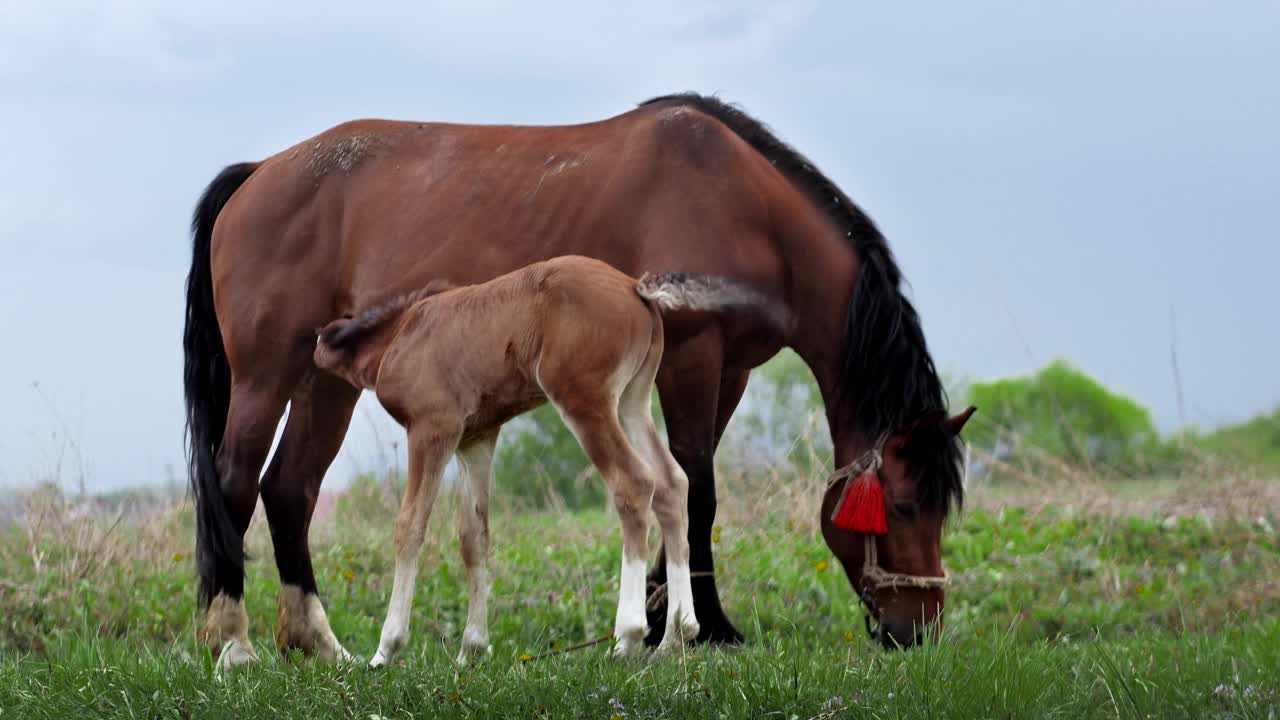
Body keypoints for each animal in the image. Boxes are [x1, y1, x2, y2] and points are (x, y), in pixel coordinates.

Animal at [314, 253, 783, 661]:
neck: (403, 332)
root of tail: (635, 288)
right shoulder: (477, 438)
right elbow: (474, 535)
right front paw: (472, 651)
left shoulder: (433, 429)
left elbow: (410, 525)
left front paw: (386, 650)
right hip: (632, 401)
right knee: (671, 484)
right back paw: (676, 634)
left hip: (583, 399)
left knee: (634, 483)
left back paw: (627, 636)